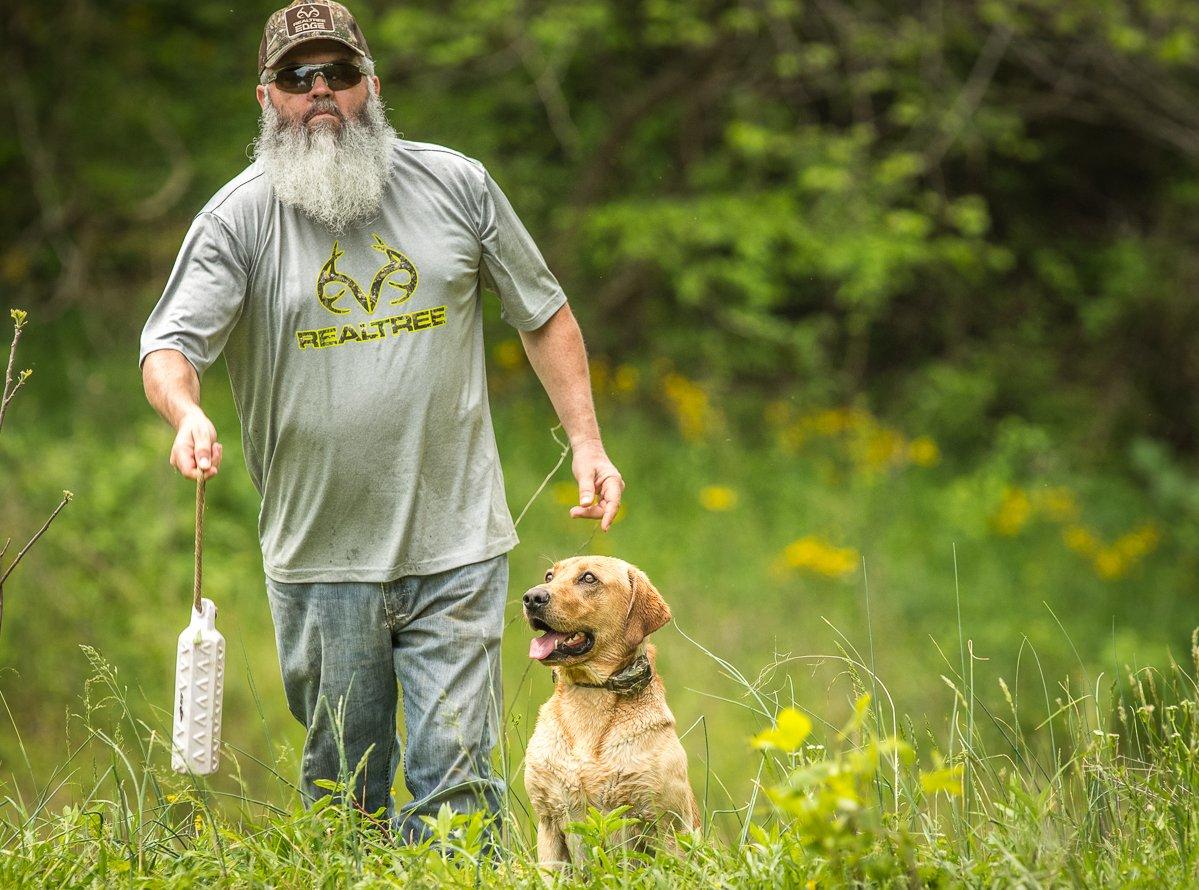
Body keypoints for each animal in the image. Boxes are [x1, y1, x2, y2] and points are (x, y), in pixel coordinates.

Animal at [520, 556, 700, 873]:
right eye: (549, 575)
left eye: (589, 578)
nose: (532, 597)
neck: (590, 693)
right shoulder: (548, 820)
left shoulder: (668, 825)